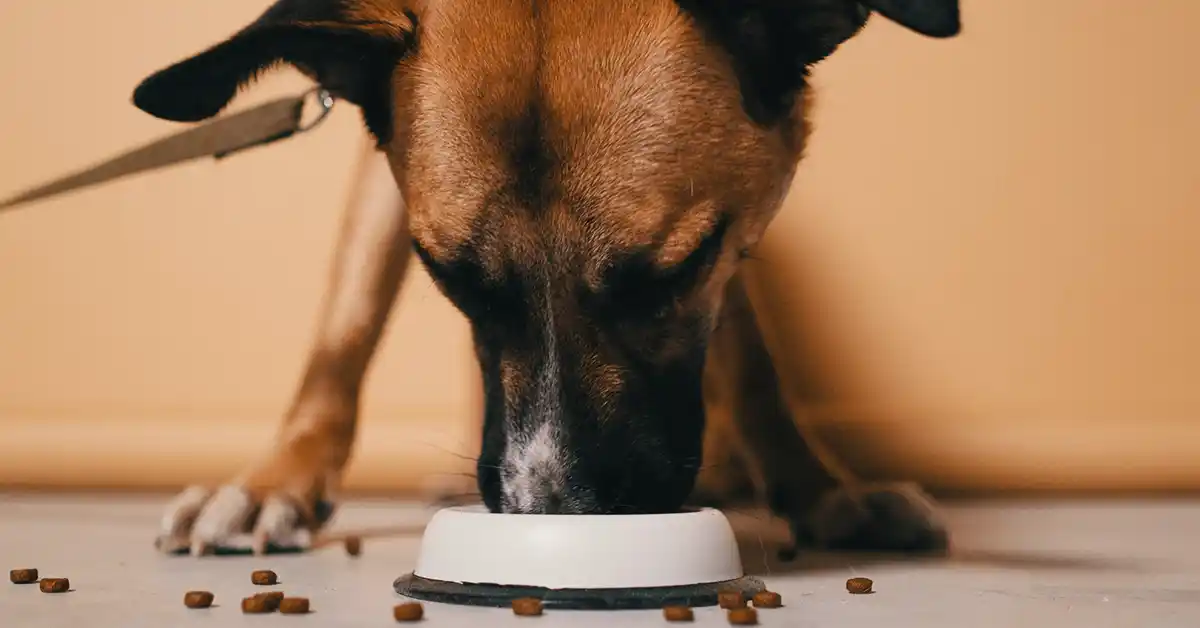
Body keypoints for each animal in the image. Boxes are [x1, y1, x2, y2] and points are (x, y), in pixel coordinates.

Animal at [133, 0, 955, 557]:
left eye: (675, 272)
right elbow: (344, 332)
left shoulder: (732, 234)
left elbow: (751, 365)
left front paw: (823, 492)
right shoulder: (382, 182)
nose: (555, 514)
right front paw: (275, 483)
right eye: (453, 279)